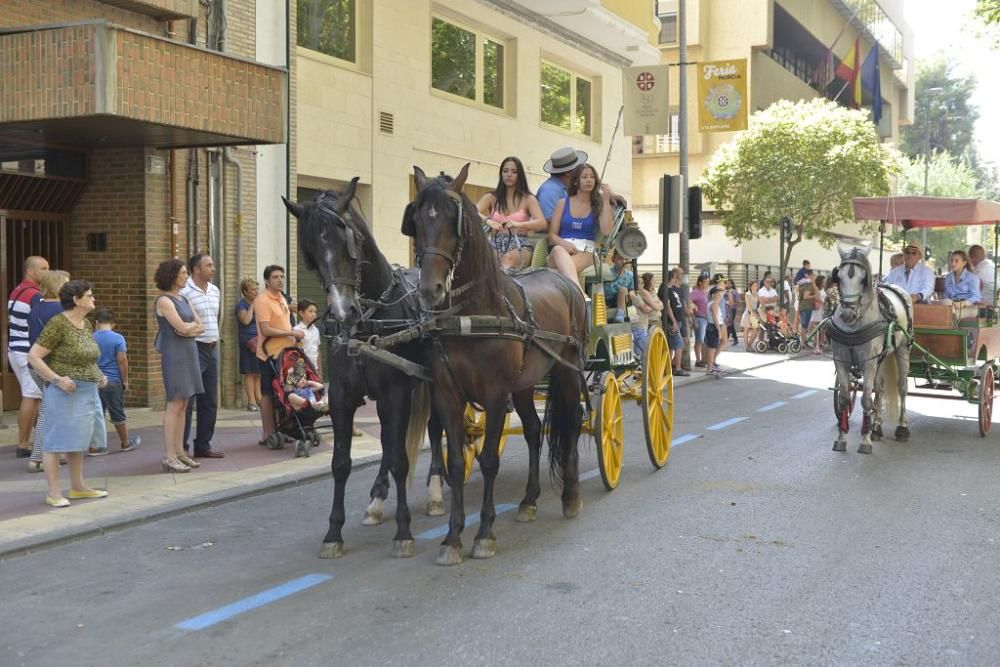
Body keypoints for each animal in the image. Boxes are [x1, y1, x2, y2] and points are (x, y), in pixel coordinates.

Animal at [282, 180, 438, 560]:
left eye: (347, 238)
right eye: (310, 251)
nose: (343, 311)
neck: (370, 322)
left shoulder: (397, 394)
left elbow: (401, 460)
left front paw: (403, 531)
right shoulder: (342, 396)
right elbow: (342, 462)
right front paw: (333, 533)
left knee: (436, 433)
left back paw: (436, 492)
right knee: (389, 440)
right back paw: (377, 501)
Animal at [400, 164, 588, 568]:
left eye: (452, 221)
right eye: (417, 220)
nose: (430, 291)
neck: (472, 314)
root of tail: (565, 281)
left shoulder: (497, 393)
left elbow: (488, 460)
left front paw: (484, 533)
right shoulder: (447, 394)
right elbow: (457, 463)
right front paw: (452, 538)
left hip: (566, 371)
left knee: (569, 426)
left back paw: (571, 495)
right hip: (525, 385)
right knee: (534, 431)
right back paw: (529, 501)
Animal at [824, 245, 912, 454]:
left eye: (863, 279)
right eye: (838, 277)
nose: (847, 314)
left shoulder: (868, 361)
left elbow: (865, 399)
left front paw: (865, 440)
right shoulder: (841, 359)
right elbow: (844, 398)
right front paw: (842, 437)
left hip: (902, 350)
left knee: (902, 387)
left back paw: (902, 428)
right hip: (882, 358)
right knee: (879, 389)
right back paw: (877, 427)